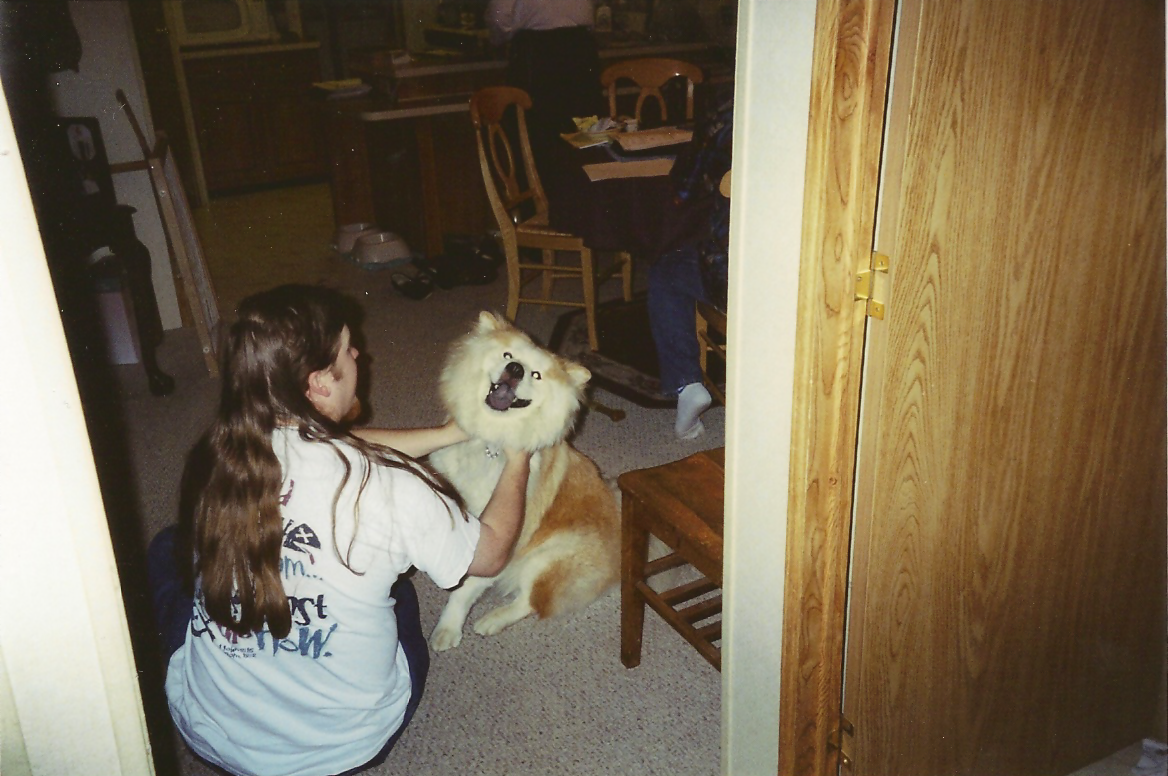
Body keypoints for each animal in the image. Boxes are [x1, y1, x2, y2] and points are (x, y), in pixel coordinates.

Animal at [428, 312, 620, 651]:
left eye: (536, 375)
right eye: (508, 356)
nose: (515, 370)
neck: (490, 443)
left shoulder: (501, 539)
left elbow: (465, 591)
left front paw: (448, 629)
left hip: (548, 558)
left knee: (530, 602)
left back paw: (492, 620)